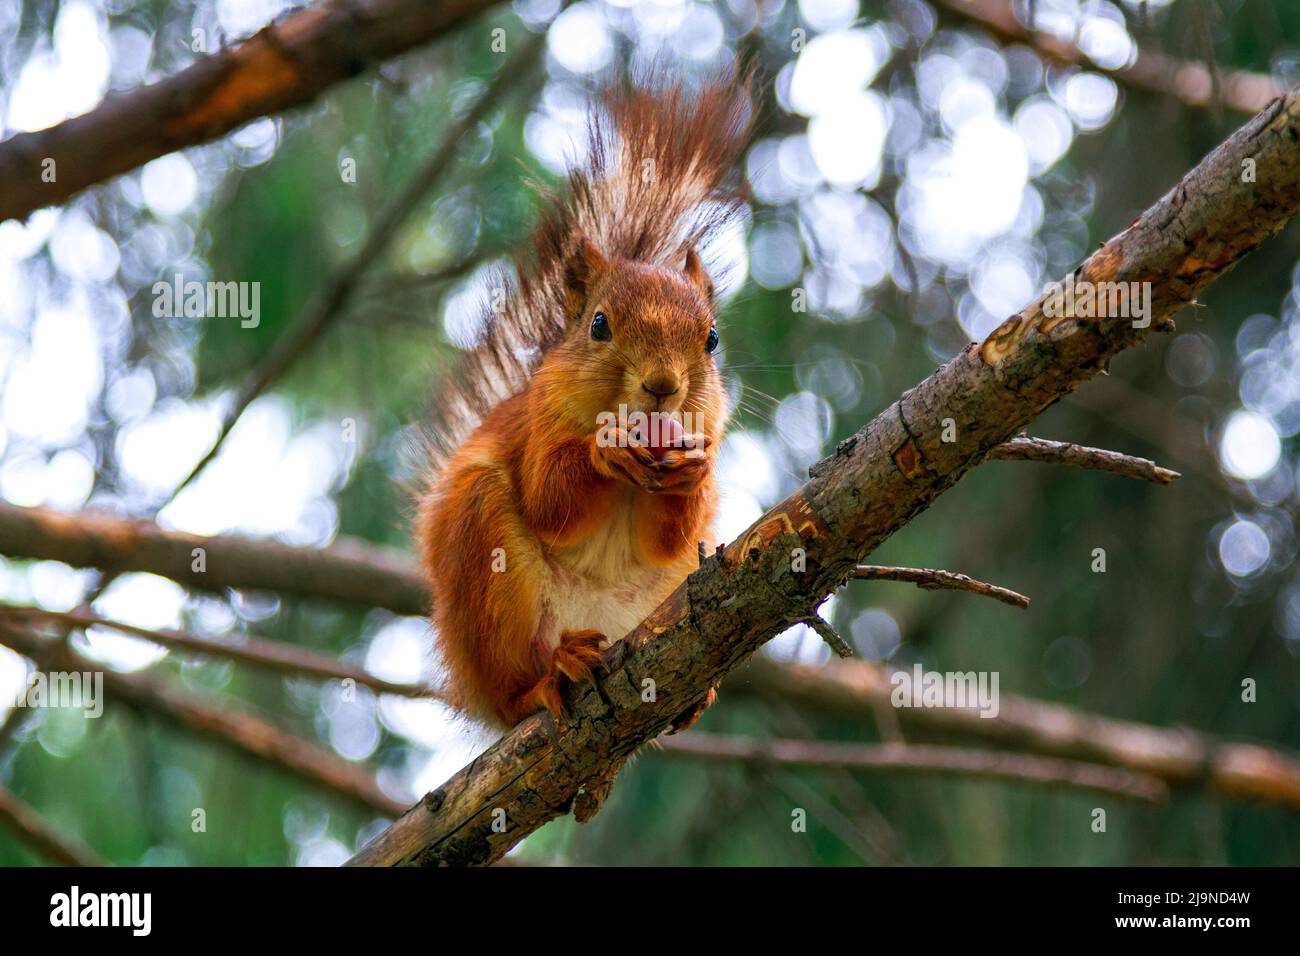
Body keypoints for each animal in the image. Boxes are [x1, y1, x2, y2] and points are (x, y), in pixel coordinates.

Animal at [416, 76, 751, 731]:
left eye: (712, 339)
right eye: (599, 325)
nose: (662, 385)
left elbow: (667, 535)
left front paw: (696, 472)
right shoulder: (536, 428)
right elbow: (550, 500)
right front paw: (605, 451)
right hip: (488, 571)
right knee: (512, 688)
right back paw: (550, 677)